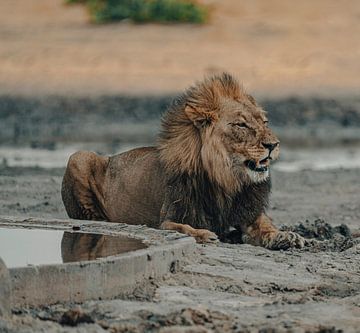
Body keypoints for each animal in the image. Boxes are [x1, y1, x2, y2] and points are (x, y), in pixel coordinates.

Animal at [61, 72, 304, 249]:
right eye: (241, 125)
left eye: (264, 121)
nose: (273, 144)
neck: (225, 179)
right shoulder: (168, 219)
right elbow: (182, 228)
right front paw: (205, 234)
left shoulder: (249, 212)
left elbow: (265, 225)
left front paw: (285, 236)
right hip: (78, 156)